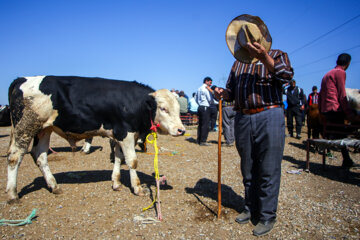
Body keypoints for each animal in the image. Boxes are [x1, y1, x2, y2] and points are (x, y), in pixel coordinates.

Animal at [6, 76, 186, 203]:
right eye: (163, 108)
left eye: (178, 109)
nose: (181, 130)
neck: (135, 104)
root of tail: (21, 79)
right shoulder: (125, 134)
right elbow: (132, 161)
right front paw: (137, 188)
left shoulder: (119, 136)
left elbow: (119, 159)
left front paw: (116, 183)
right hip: (25, 128)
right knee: (14, 157)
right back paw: (13, 194)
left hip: (44, 130)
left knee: (40, 156)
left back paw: (54, 185)